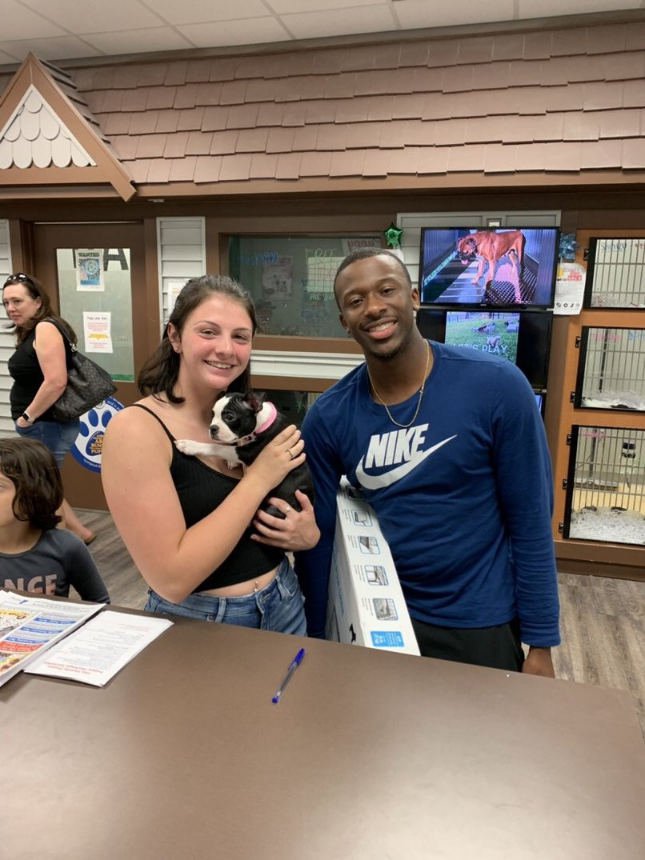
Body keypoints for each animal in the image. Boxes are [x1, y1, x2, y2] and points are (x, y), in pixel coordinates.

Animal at [174, 390, 314, 516]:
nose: (212, 428)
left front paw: (189, 445)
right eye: (212, 415)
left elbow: (219, 448)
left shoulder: (248, 452)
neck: (261, 422)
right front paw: (232, 462)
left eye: (230, 417)